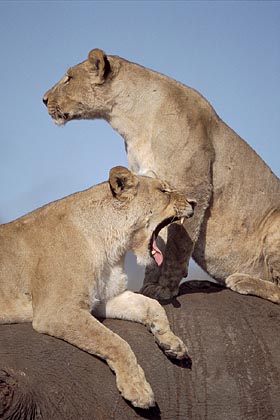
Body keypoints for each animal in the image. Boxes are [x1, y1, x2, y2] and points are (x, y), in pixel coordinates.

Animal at [0, 166, 196, 408]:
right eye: (163, 190)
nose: (194, 202)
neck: (113, 245)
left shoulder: (106, 297)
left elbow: (152, 306)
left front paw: (171, 342)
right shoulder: (57, 312)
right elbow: (115, 342)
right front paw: (137, 389)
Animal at [43, 49, 280, 304]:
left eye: (68, 78)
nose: (43, 99)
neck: (132, 122)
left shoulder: (193, 186)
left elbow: (178, 244)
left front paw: (166, 289)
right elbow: (155, 238)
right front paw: (149, 286)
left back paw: (241, 280)